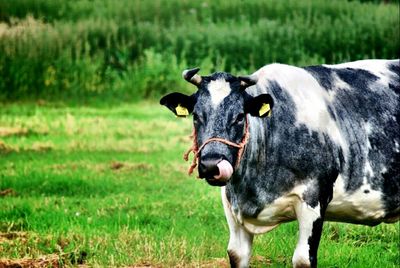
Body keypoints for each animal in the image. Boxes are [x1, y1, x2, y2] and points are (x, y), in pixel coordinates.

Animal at [159, 59, 400, 266]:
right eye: (196, 116)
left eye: (240, 116)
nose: (211, 165)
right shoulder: (231, 205)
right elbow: (236, 254)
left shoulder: (314, 197)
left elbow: (303, 259)